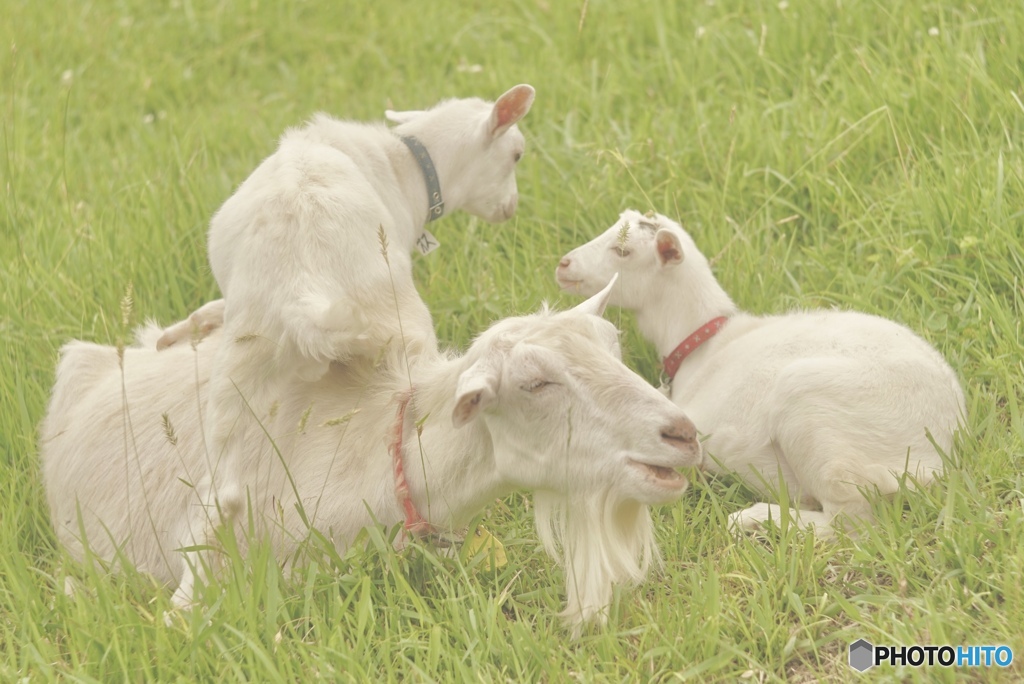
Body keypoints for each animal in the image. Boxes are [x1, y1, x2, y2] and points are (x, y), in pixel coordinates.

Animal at [156, 83, 540, 602]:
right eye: (516, 154)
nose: (510, 209)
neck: (402, 164)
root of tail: (306, 295)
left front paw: (177, 333)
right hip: (404, 330)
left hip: (242, 362)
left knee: (223, 496)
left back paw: (182, 604)